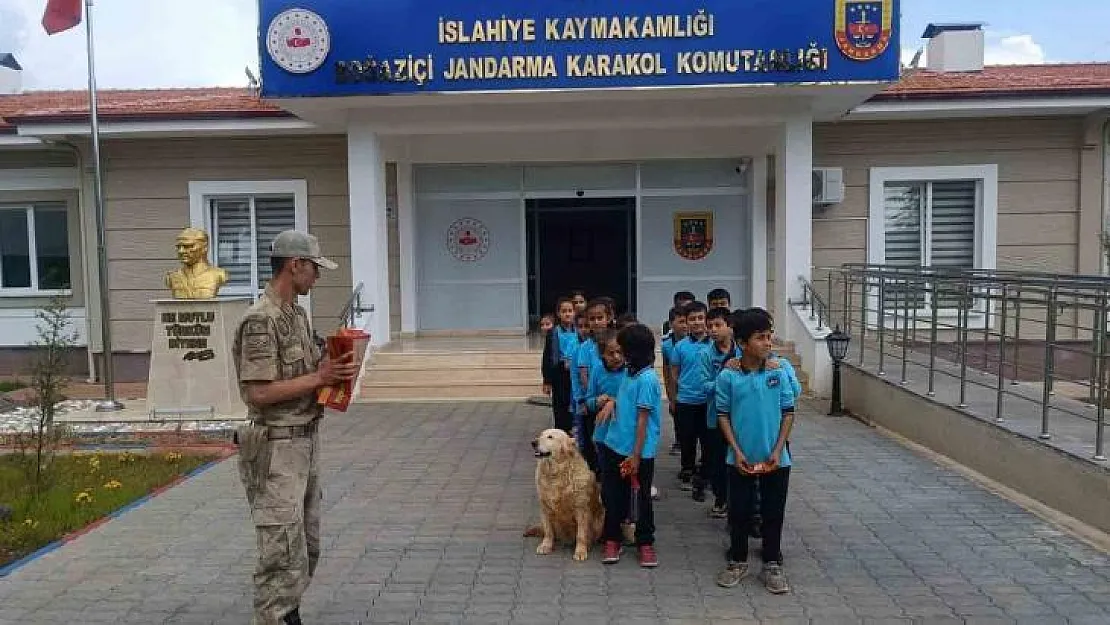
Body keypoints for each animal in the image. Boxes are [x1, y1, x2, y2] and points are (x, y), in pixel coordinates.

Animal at [530, 430, 608, 561]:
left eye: (550, 437)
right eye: (540, 435)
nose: (533, 443)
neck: (556, 473)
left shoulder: (581, 508)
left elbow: (581, 534)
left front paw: (580, 551)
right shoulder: (545, 506)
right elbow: (548, 530)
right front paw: (546, 545)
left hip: (601, 515)